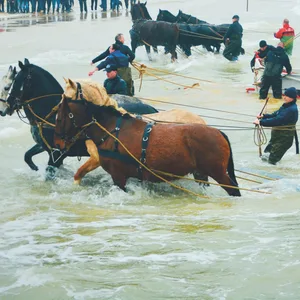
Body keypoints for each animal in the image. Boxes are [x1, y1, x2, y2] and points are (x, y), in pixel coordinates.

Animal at [0, 59, 158, 178]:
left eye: (12, 84)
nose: (6, 107)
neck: (51, 116)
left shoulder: (56, 155)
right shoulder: (46, 147)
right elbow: (27, 155)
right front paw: (34, 167)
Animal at [54, 95, 241, 197]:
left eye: (59, 118)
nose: (57, 143)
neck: (112, 130)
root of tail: (218, 132)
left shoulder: (118, 176)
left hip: (217, 172)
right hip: (200, 173)